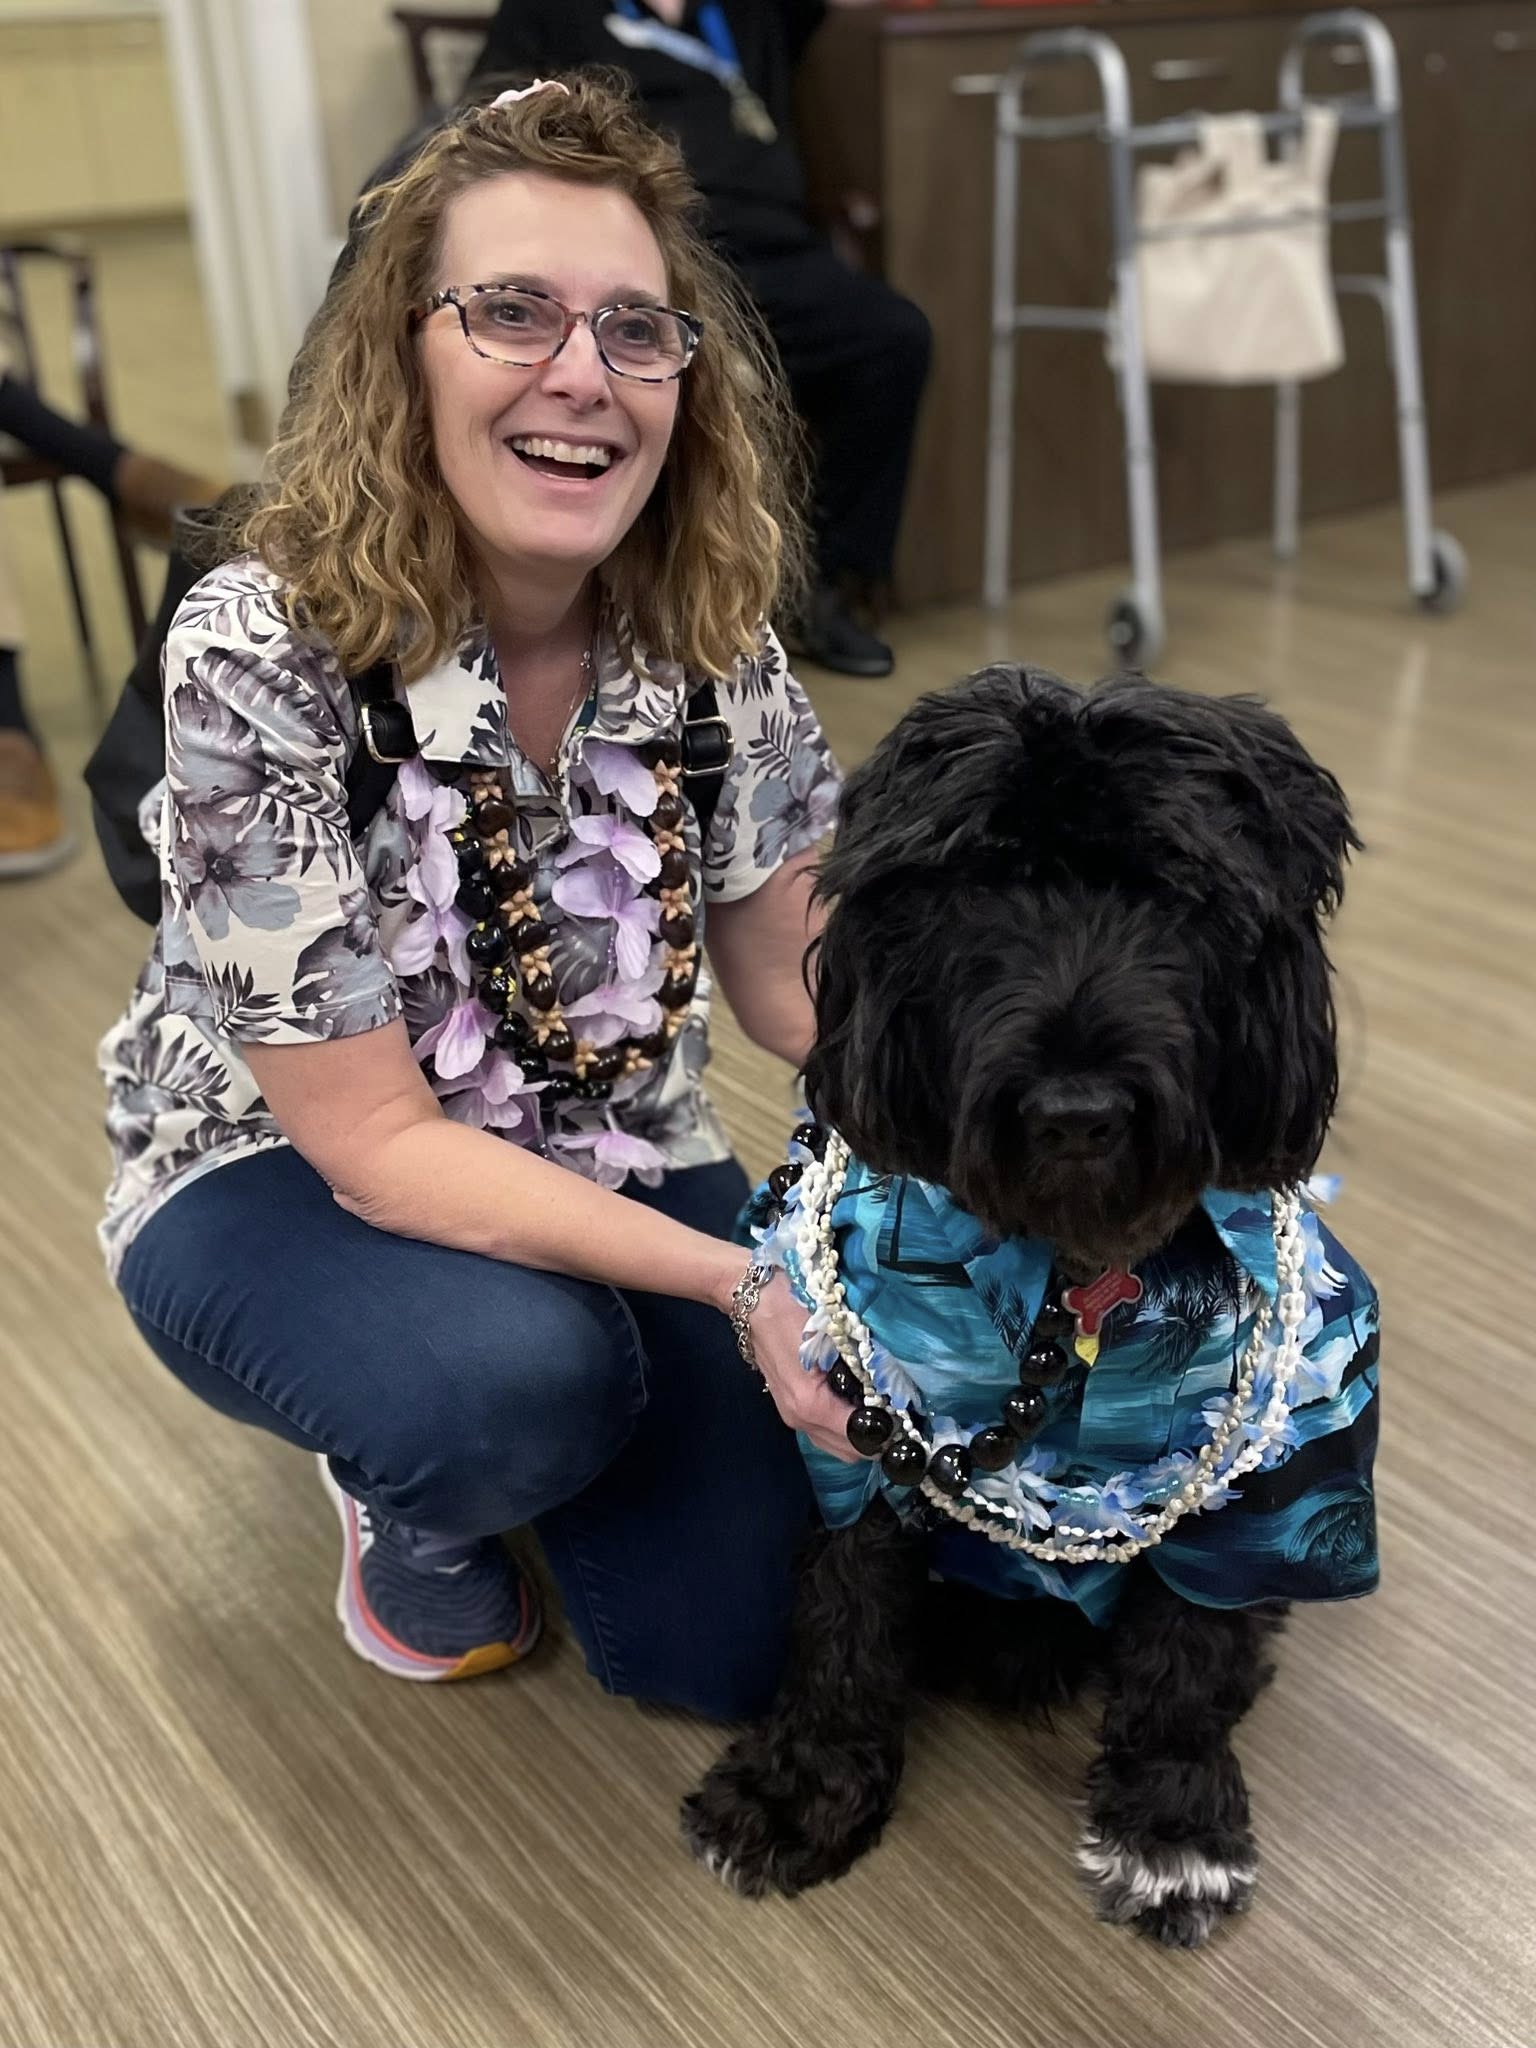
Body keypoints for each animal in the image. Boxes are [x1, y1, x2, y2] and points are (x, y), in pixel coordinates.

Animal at [682, 665, 1381, 1947]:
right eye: (980, 884)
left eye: (1172, 890)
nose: (1075, 1110)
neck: (1074, 1266)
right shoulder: (856, 1430)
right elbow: (842, 1610)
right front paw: (802, 1784)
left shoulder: (1283, 1475)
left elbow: (1191, 1651)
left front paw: (1172, 1826)